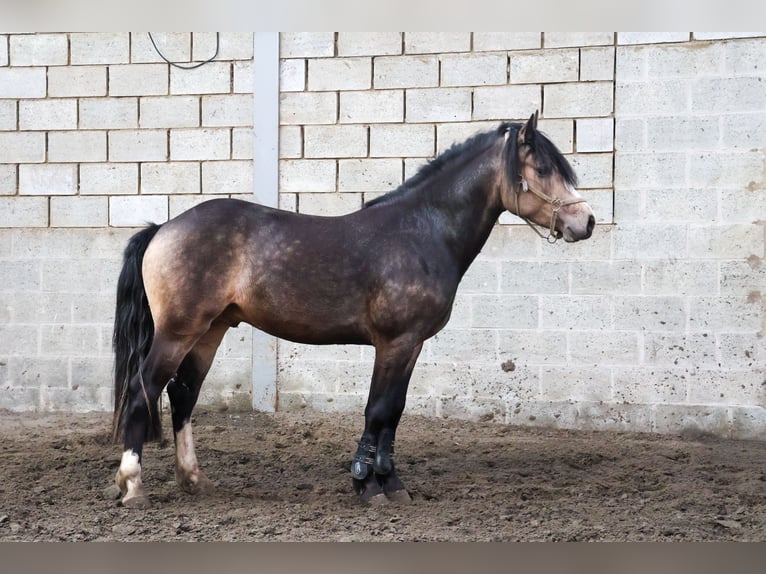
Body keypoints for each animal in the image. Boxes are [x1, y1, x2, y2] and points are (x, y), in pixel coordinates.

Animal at [111, 112, 596, 508]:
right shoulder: (395, 342)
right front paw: (369, 484)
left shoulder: (411, 345)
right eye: (543, 170)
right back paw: (132, 485)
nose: (586, 221)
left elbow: (393, 411)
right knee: (143, 389)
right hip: (178, 332)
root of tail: (164, 228)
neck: (421, 231)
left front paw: (390, 483)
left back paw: (193, 480)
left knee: (183, 395)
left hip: (210, 330)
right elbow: (378, 409)